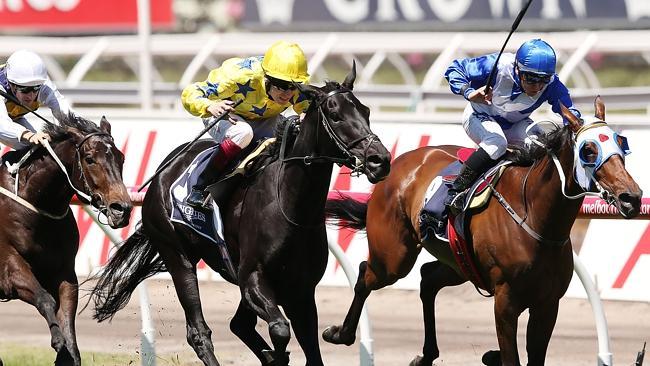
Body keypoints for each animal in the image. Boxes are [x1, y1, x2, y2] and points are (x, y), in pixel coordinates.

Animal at [0, 115, 132, 366]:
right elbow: (44, 298)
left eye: (121, 157)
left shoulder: (65, 273)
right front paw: (57, 339)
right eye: (90, 159)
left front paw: (66, 349)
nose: (122, 209)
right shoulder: (9, 269)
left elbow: (68, 325)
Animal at [86, 64, 390, 364]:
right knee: (199, 331)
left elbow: (310, 351)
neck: (290, 206)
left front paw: (278, 354)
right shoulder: (253, 279)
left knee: (238, 324)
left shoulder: (300, 291)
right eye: (335, 116)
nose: (381, 160)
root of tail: (162, 172)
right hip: (177, 254)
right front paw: (276, 354)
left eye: (366, 111)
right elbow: (280, 329)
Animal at [322, 97, 640, 366]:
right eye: (589, 150)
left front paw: (490, 355)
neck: (536, 218)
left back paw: (426, 355)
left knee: (427, 279)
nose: (632, 197)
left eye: (621, 144)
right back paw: (341, 333)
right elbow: (511, 358)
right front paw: (496, 355)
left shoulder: (548, 305)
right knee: (365, 273)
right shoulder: (506, 302)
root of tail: (397, 162)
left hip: (458, 262)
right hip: (394, 258)